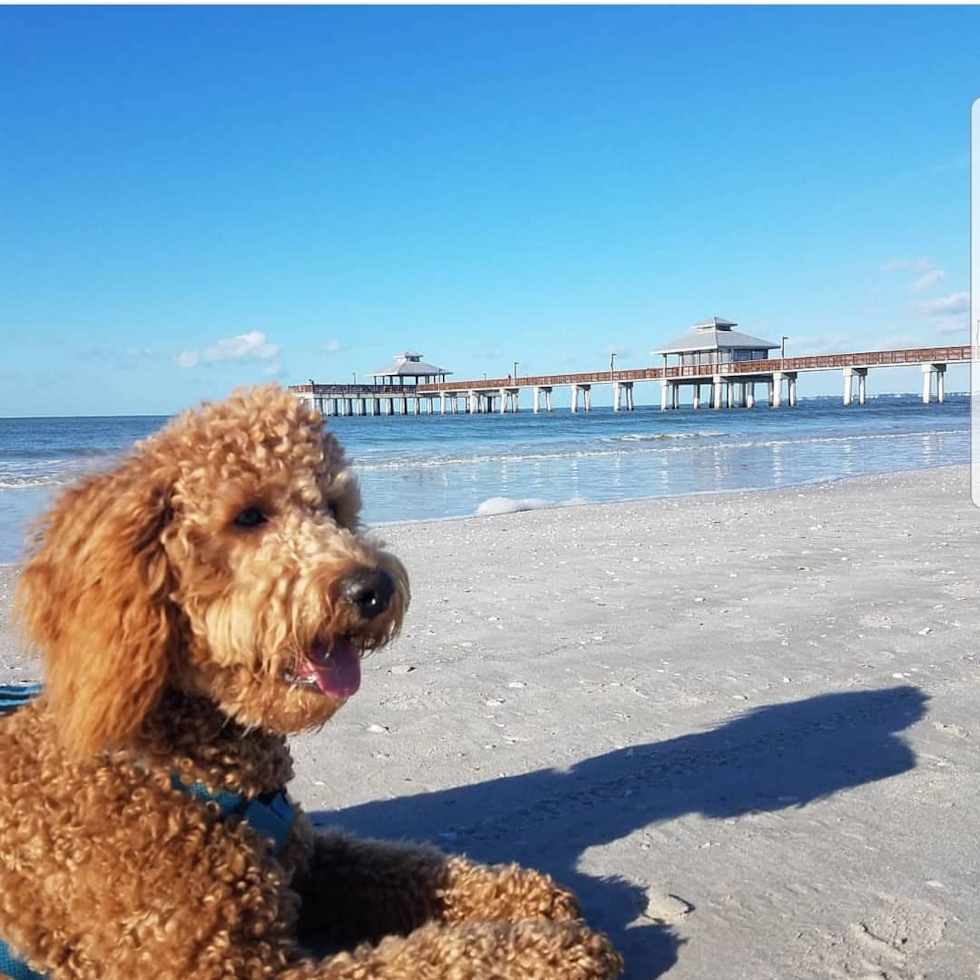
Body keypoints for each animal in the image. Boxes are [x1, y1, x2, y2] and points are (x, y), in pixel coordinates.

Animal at [0, 384, 620, 980]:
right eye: (249, 516)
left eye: (334, 509)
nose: (372, 588)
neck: (184, 762)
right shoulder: (223, 967)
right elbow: (428, 959)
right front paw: (555, 947)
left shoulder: (313, 857)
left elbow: (410, 864)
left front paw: (523, 894)